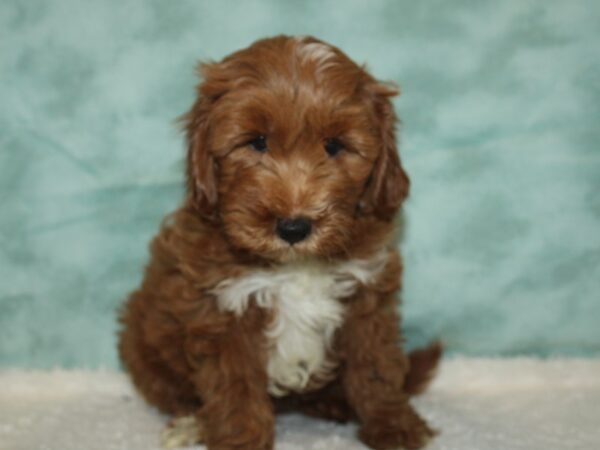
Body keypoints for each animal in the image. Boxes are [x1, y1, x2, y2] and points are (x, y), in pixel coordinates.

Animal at [119, 36, 440, 450]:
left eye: (334, 146)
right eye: (257, 143)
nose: (293, 227)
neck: (295, 266)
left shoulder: (366, 297)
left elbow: (376, 367)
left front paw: (393, 425)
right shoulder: (223, 310)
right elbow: (235, 391)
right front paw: (240, 441)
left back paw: (333, 403)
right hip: (140, 339)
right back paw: (191, 423)